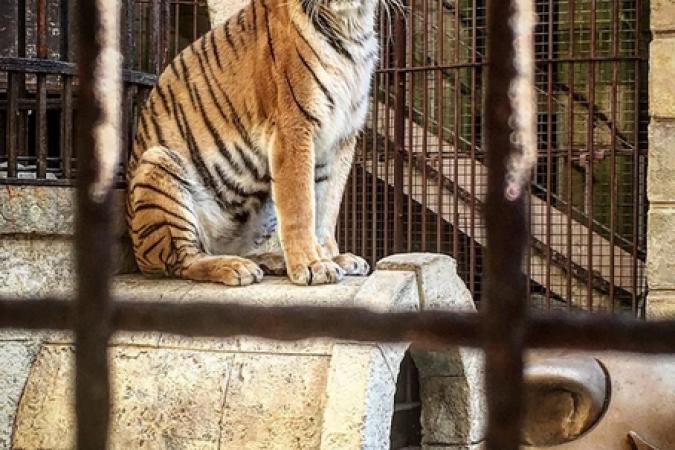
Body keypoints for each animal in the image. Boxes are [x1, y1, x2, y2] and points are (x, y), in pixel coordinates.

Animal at [128, 0, 390, 286]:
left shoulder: (342, 137)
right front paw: (313, 265)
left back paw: (271, 262)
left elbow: (327, 206)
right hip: (158, 161)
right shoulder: (294, 127)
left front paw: (331, 256)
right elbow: (301, 206)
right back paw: (235, 267)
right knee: (184, 261)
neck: (350, 25)